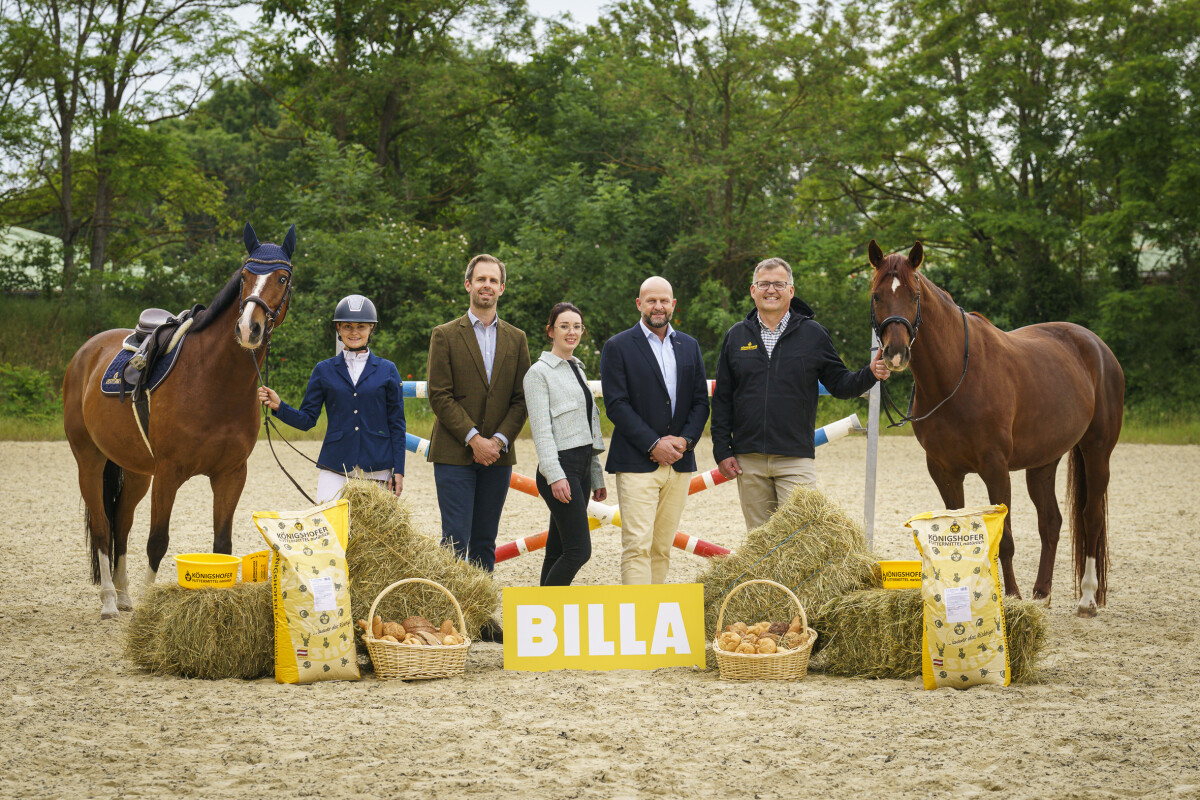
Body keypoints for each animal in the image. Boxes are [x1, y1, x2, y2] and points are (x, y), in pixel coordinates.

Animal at [63, 224, 295, 618]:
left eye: (282, 277)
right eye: (244, 276)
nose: (248, 328)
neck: (214, 380)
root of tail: (85, 352)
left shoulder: (231, 474)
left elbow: (222, 545)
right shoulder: (169, 473)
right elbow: (157, 541)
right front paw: (149, 609)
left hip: (137, 471)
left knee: (121, 523)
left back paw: (124, 596)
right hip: (90, 460)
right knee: (102, 527)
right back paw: (109, 602)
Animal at [868, 241, 1118, 618]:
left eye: (914, 296)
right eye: (877, 295)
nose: (895, 353)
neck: (954, 378)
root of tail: (1096, 346)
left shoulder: (995, 469)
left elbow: (1006, 541)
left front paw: (1010, 597)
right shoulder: (944, 472)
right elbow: (954, 533)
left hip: (1097, 452)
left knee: (1090, 518)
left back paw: (1087, 599)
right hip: (1042, 464)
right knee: (1051, 522)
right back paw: (1041, 594)